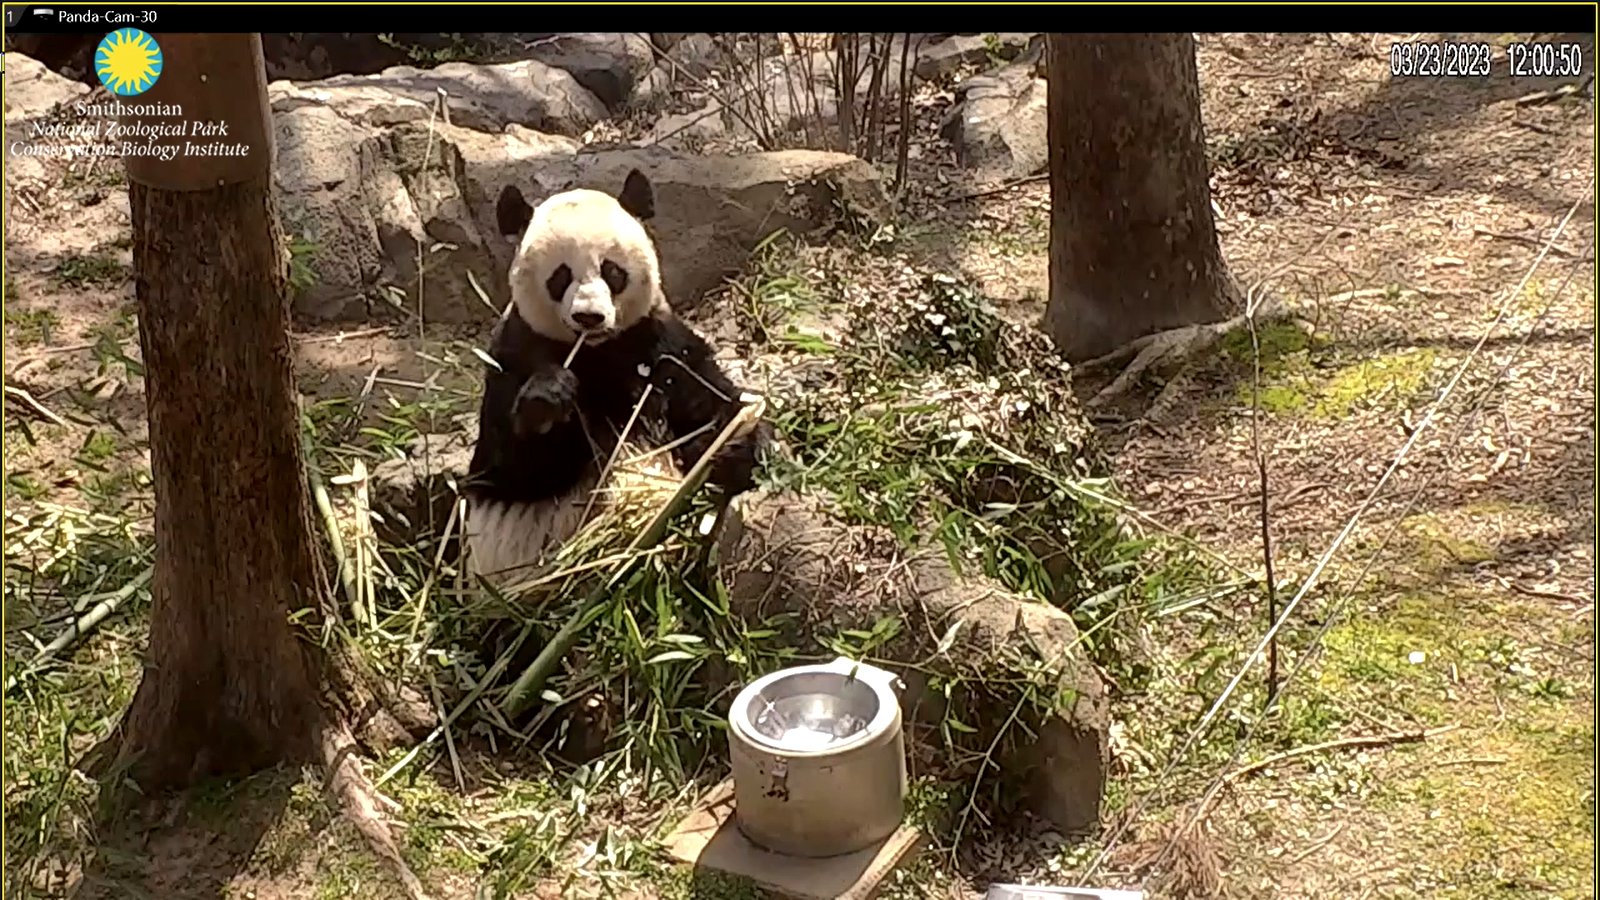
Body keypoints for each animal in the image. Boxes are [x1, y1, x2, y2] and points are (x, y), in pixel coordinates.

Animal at [462, 168, 770, 589]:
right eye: (560, 277)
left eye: (612, 271)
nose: (588, 317)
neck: (596, 352)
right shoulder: (514, 355)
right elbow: (508, 473)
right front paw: (548, 400)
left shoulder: (658, 343)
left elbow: (707, 405)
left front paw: (733, 448)